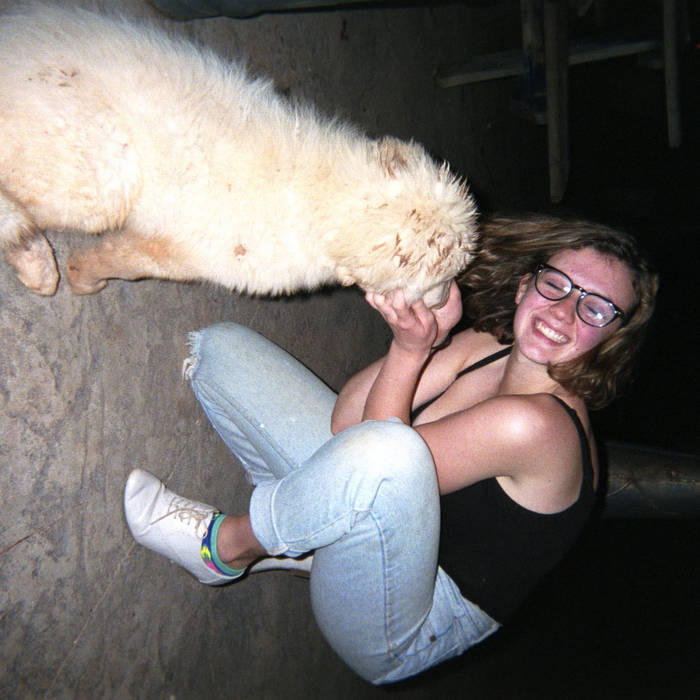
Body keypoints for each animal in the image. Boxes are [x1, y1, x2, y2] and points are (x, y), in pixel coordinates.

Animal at [0, 4, 477, 307]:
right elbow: (118, 260)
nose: (446, 305)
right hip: (100, 179)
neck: (321, 195)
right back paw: (38, 262)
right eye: (443, 279)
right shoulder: (180, 252)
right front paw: (82, 277)